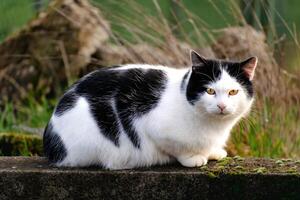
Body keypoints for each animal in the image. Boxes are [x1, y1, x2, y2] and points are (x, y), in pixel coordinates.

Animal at [43, 49, 256, 169]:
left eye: (233, 92)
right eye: (210, 91)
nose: (221, 106)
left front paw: (212, 152)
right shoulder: (156, 128)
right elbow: (177, 148)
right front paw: (194, 158)